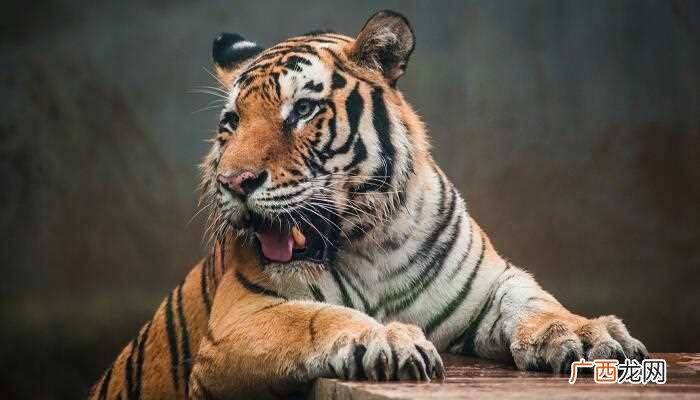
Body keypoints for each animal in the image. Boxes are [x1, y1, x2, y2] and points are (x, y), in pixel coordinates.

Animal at [90, 10, 649, 400]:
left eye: (303, 109)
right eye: (231, 123)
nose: (233, 182)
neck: (373, 241)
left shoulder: (492, 283)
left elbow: (536, 302)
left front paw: (586, 334)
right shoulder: (239, 318)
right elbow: (315, 318)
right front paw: (388, 340)